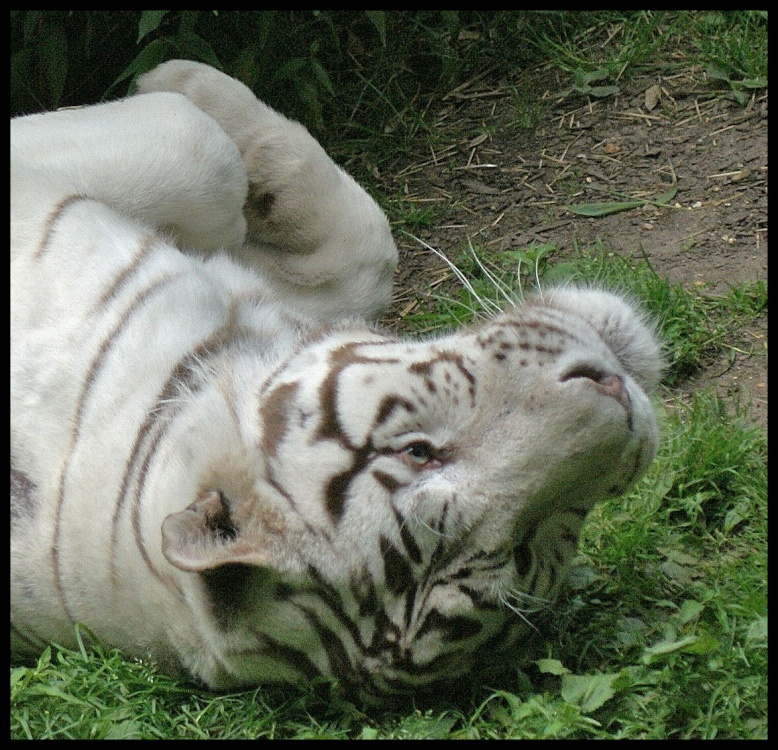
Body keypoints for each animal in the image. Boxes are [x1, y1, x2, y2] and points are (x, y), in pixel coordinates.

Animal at [11, 60, 663, 704]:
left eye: (526, 549)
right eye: (418, 453)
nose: (617, 393)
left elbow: (359, 251)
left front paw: (185, 86)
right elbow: (199, 145)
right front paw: (177, 80)